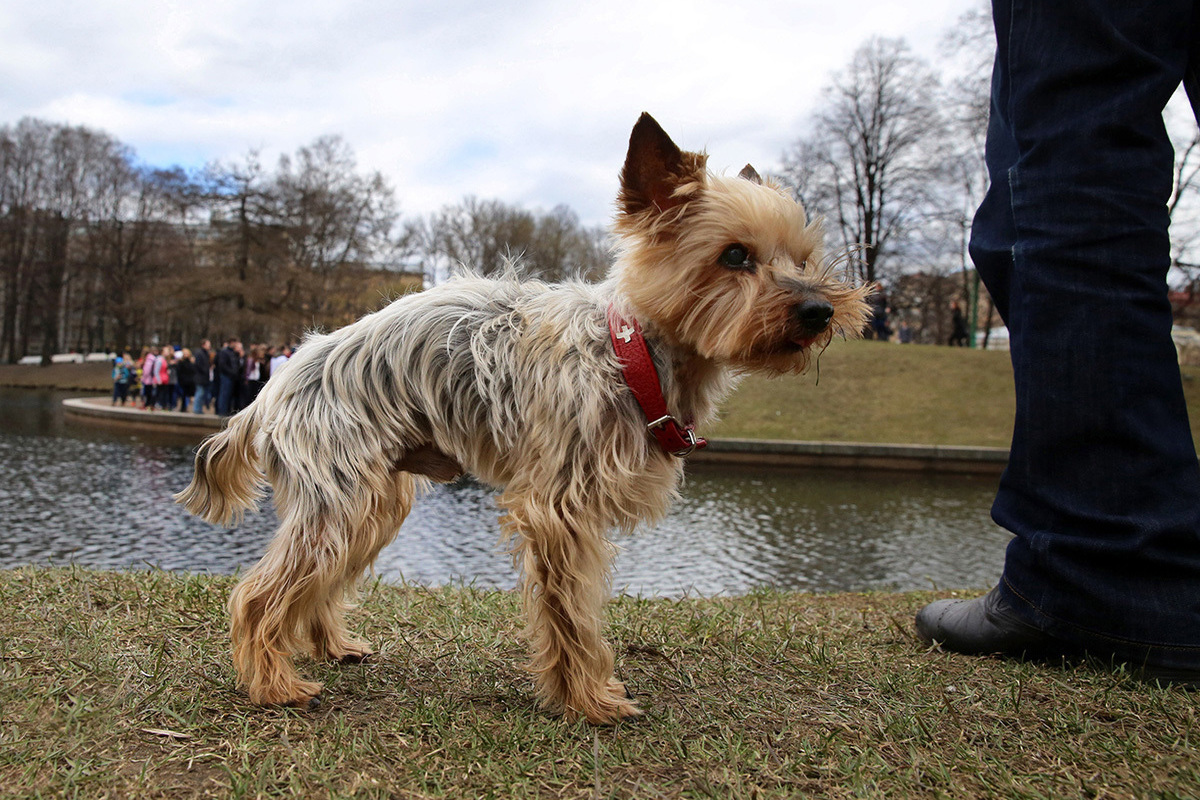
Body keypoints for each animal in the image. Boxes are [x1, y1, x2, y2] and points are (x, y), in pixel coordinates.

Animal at [175, 113, 873, 724]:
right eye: (734, 256)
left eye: (803, 259)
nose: (819, 310)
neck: (634, 353)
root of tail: (271, 386)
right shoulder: (557, 508)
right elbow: (572, 615)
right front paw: (589, 701)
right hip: (340, 496)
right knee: (258, 595)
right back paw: (273, 685)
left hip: (372, 501)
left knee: (313, 582)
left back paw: (329, 646)